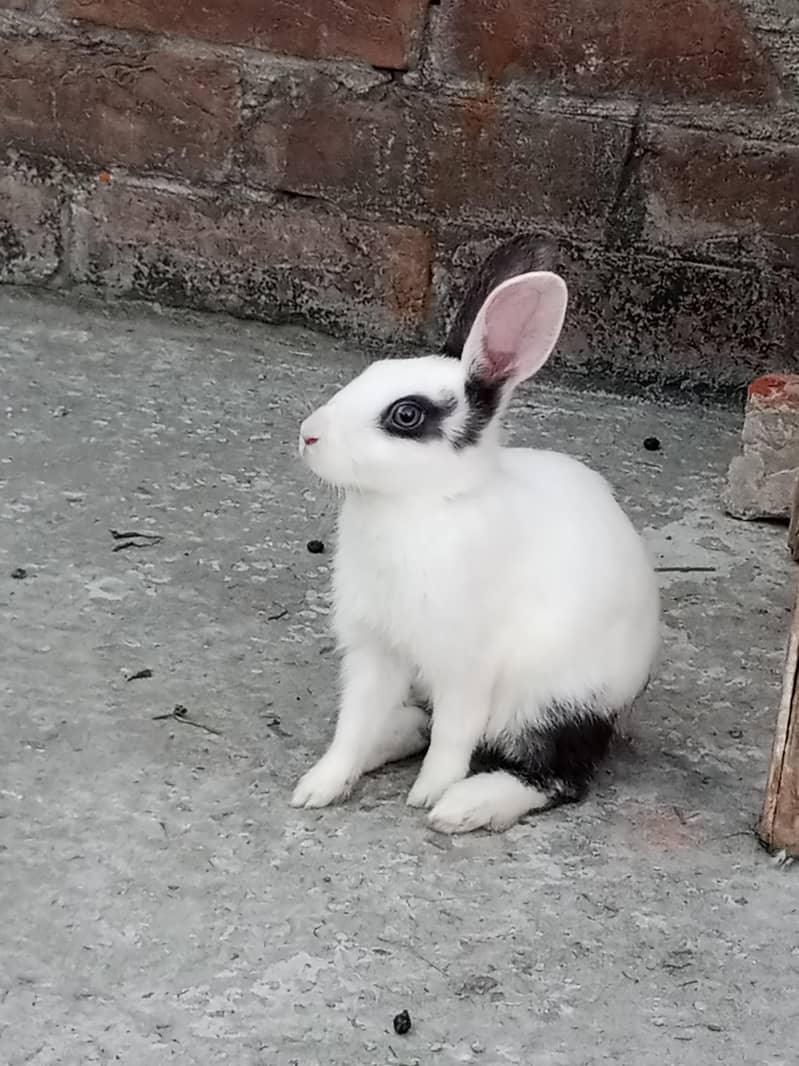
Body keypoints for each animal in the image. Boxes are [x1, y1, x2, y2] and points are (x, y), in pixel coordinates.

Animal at [290, 237, 660, 834]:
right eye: (371, 372)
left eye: (406, 415)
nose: (308, 435)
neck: (420, 504)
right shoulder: (375, 648)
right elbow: (354, 722)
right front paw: (319, 787)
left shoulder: (467, 662)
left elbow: (454, 734)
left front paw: (429, 795)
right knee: (416, 724)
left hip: (549, 702)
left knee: (557, 777)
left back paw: (464, 807)